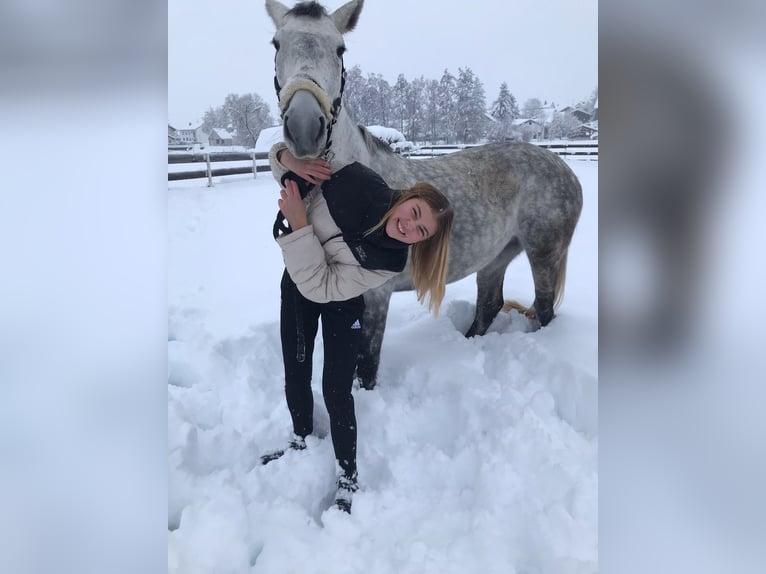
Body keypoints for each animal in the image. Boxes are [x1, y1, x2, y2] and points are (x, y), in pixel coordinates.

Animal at [264, 0, 584, 392]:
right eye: (276, 44)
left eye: (340, 49)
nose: (305, 127)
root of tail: (565, 168)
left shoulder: (375, 296)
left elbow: (365, 366)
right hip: (496, 256)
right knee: (489, 305)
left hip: (544, 253)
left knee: (544, 308)